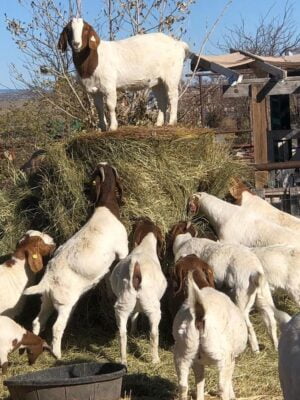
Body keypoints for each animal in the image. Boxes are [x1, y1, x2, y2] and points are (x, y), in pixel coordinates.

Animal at [24, 162, 129, 360]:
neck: (106, 207)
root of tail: (48, 280)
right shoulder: (122, 249)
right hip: (64, 303)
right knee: (57, 327)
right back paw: (58, 354)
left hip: (47, 300)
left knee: (37, 321)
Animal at [58, 18, 190, 130]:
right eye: (68, 30)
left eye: (85, 29)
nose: (76, 43)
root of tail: (179, 44)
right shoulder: (95, 91)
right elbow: (99, 108)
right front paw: (102, 128)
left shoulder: (109, 85)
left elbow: (110, 106)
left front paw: (112, 127)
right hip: (158, 81)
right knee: (162, 99)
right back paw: (159, 123)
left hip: (172, 75)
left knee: (173, 96)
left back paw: (172, 122)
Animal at [110, 217, 166, 364]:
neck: (145, 246)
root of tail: (135, 268)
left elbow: (134, 316)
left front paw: (134, 332)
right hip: (153, 307)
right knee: (154, 333)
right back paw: (155, 360)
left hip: (123, 305)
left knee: (122, 333)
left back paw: (123, 360)